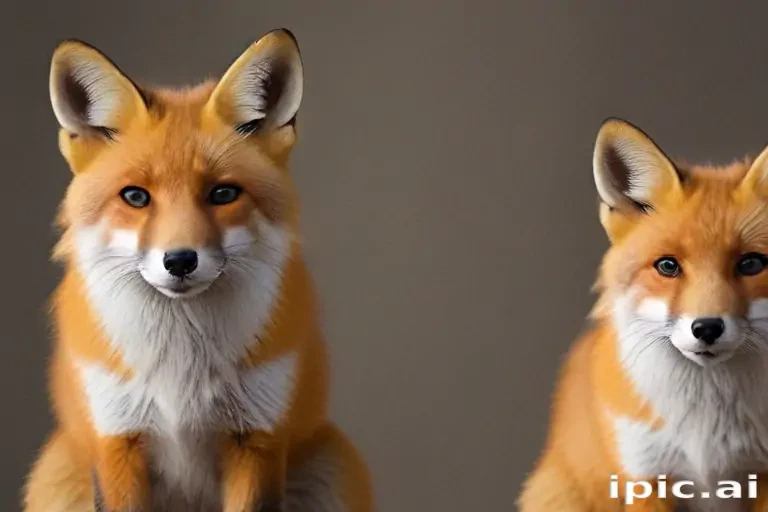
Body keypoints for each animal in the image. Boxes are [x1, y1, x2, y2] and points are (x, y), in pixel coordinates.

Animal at [22, 29, 374, 512]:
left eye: (223, 194)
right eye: (135, 197)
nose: (180, 261)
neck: (180, 371)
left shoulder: (257, 440)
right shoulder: (116, 443)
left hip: (334, 465)